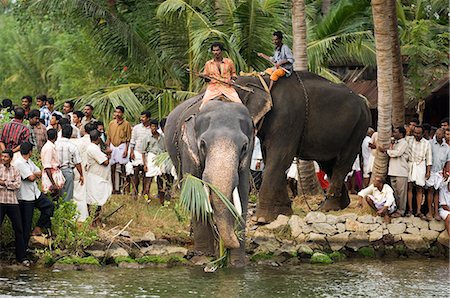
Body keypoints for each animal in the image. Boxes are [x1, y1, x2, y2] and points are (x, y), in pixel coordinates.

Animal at [164, 97, 255, 260]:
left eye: (244, 147)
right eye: (202, 144)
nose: (234, 241)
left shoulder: (248, 157)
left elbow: (242, 195)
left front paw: (237, 262)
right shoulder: (188, 151)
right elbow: (196, 195)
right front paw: (203, 258)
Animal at [234, 71, 370, 222]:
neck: (262, 81)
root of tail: (363, 101)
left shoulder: (287, 119)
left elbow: (280, 157)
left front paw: (262, 219)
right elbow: (270, 158)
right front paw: (283, 212)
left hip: (359, 127)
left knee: (342, 163)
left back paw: (328, 207)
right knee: (328, 164)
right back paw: (338, 205)